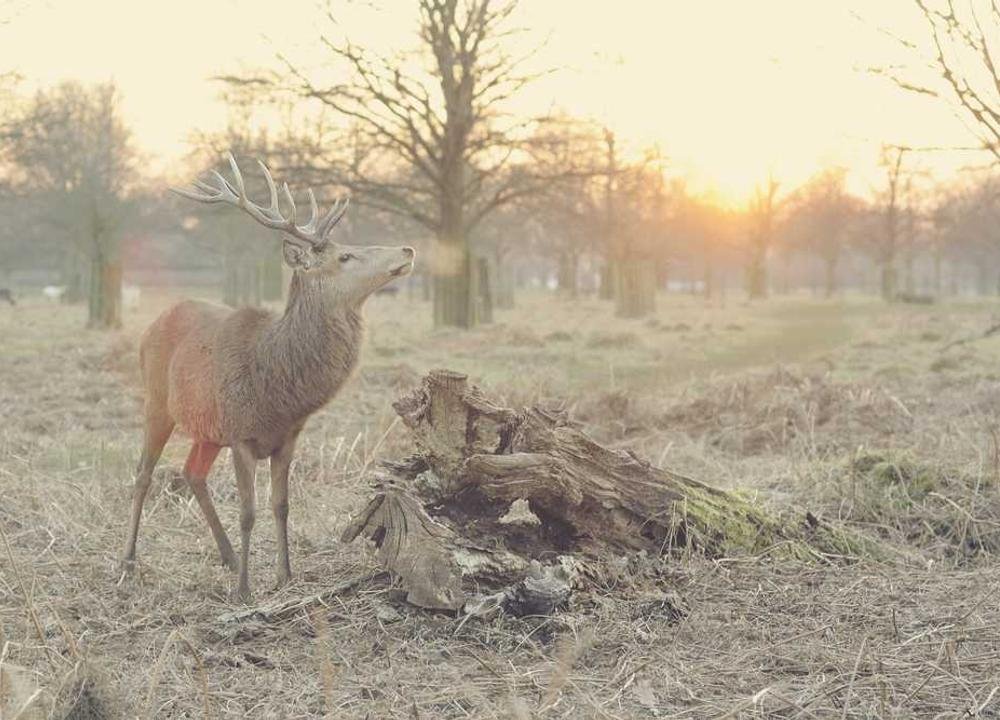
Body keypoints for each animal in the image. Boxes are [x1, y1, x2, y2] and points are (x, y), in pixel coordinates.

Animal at [124, 153, 414, 600]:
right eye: (345, 257)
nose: (407, 247)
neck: (276, 388)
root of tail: (154, 322)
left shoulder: (287, 437)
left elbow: (282, 505)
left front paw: (285, 576)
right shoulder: (241, 434)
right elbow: (248, 511)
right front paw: (245, 590)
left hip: (207, 429)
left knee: (192, 473)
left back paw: (226, 555)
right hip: (157, 402)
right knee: (143, 474)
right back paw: (128, 561)